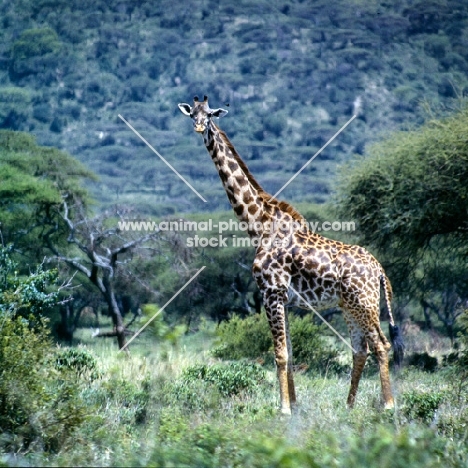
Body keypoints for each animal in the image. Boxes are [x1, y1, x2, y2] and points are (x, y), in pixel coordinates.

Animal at [177, 94, 404, 414]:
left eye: (209, 115)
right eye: (192, 114)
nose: (198, 127)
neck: (259, 224)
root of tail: (379, 269)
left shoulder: (270, 293)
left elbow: (280, 354)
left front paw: (283, 409)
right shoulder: (284, 298)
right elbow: (292, 354)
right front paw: (294, 406)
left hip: (365, 302)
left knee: (380, 344)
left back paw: (388, 406)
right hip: (348, 306)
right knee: (360, 349)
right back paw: (348, 406)